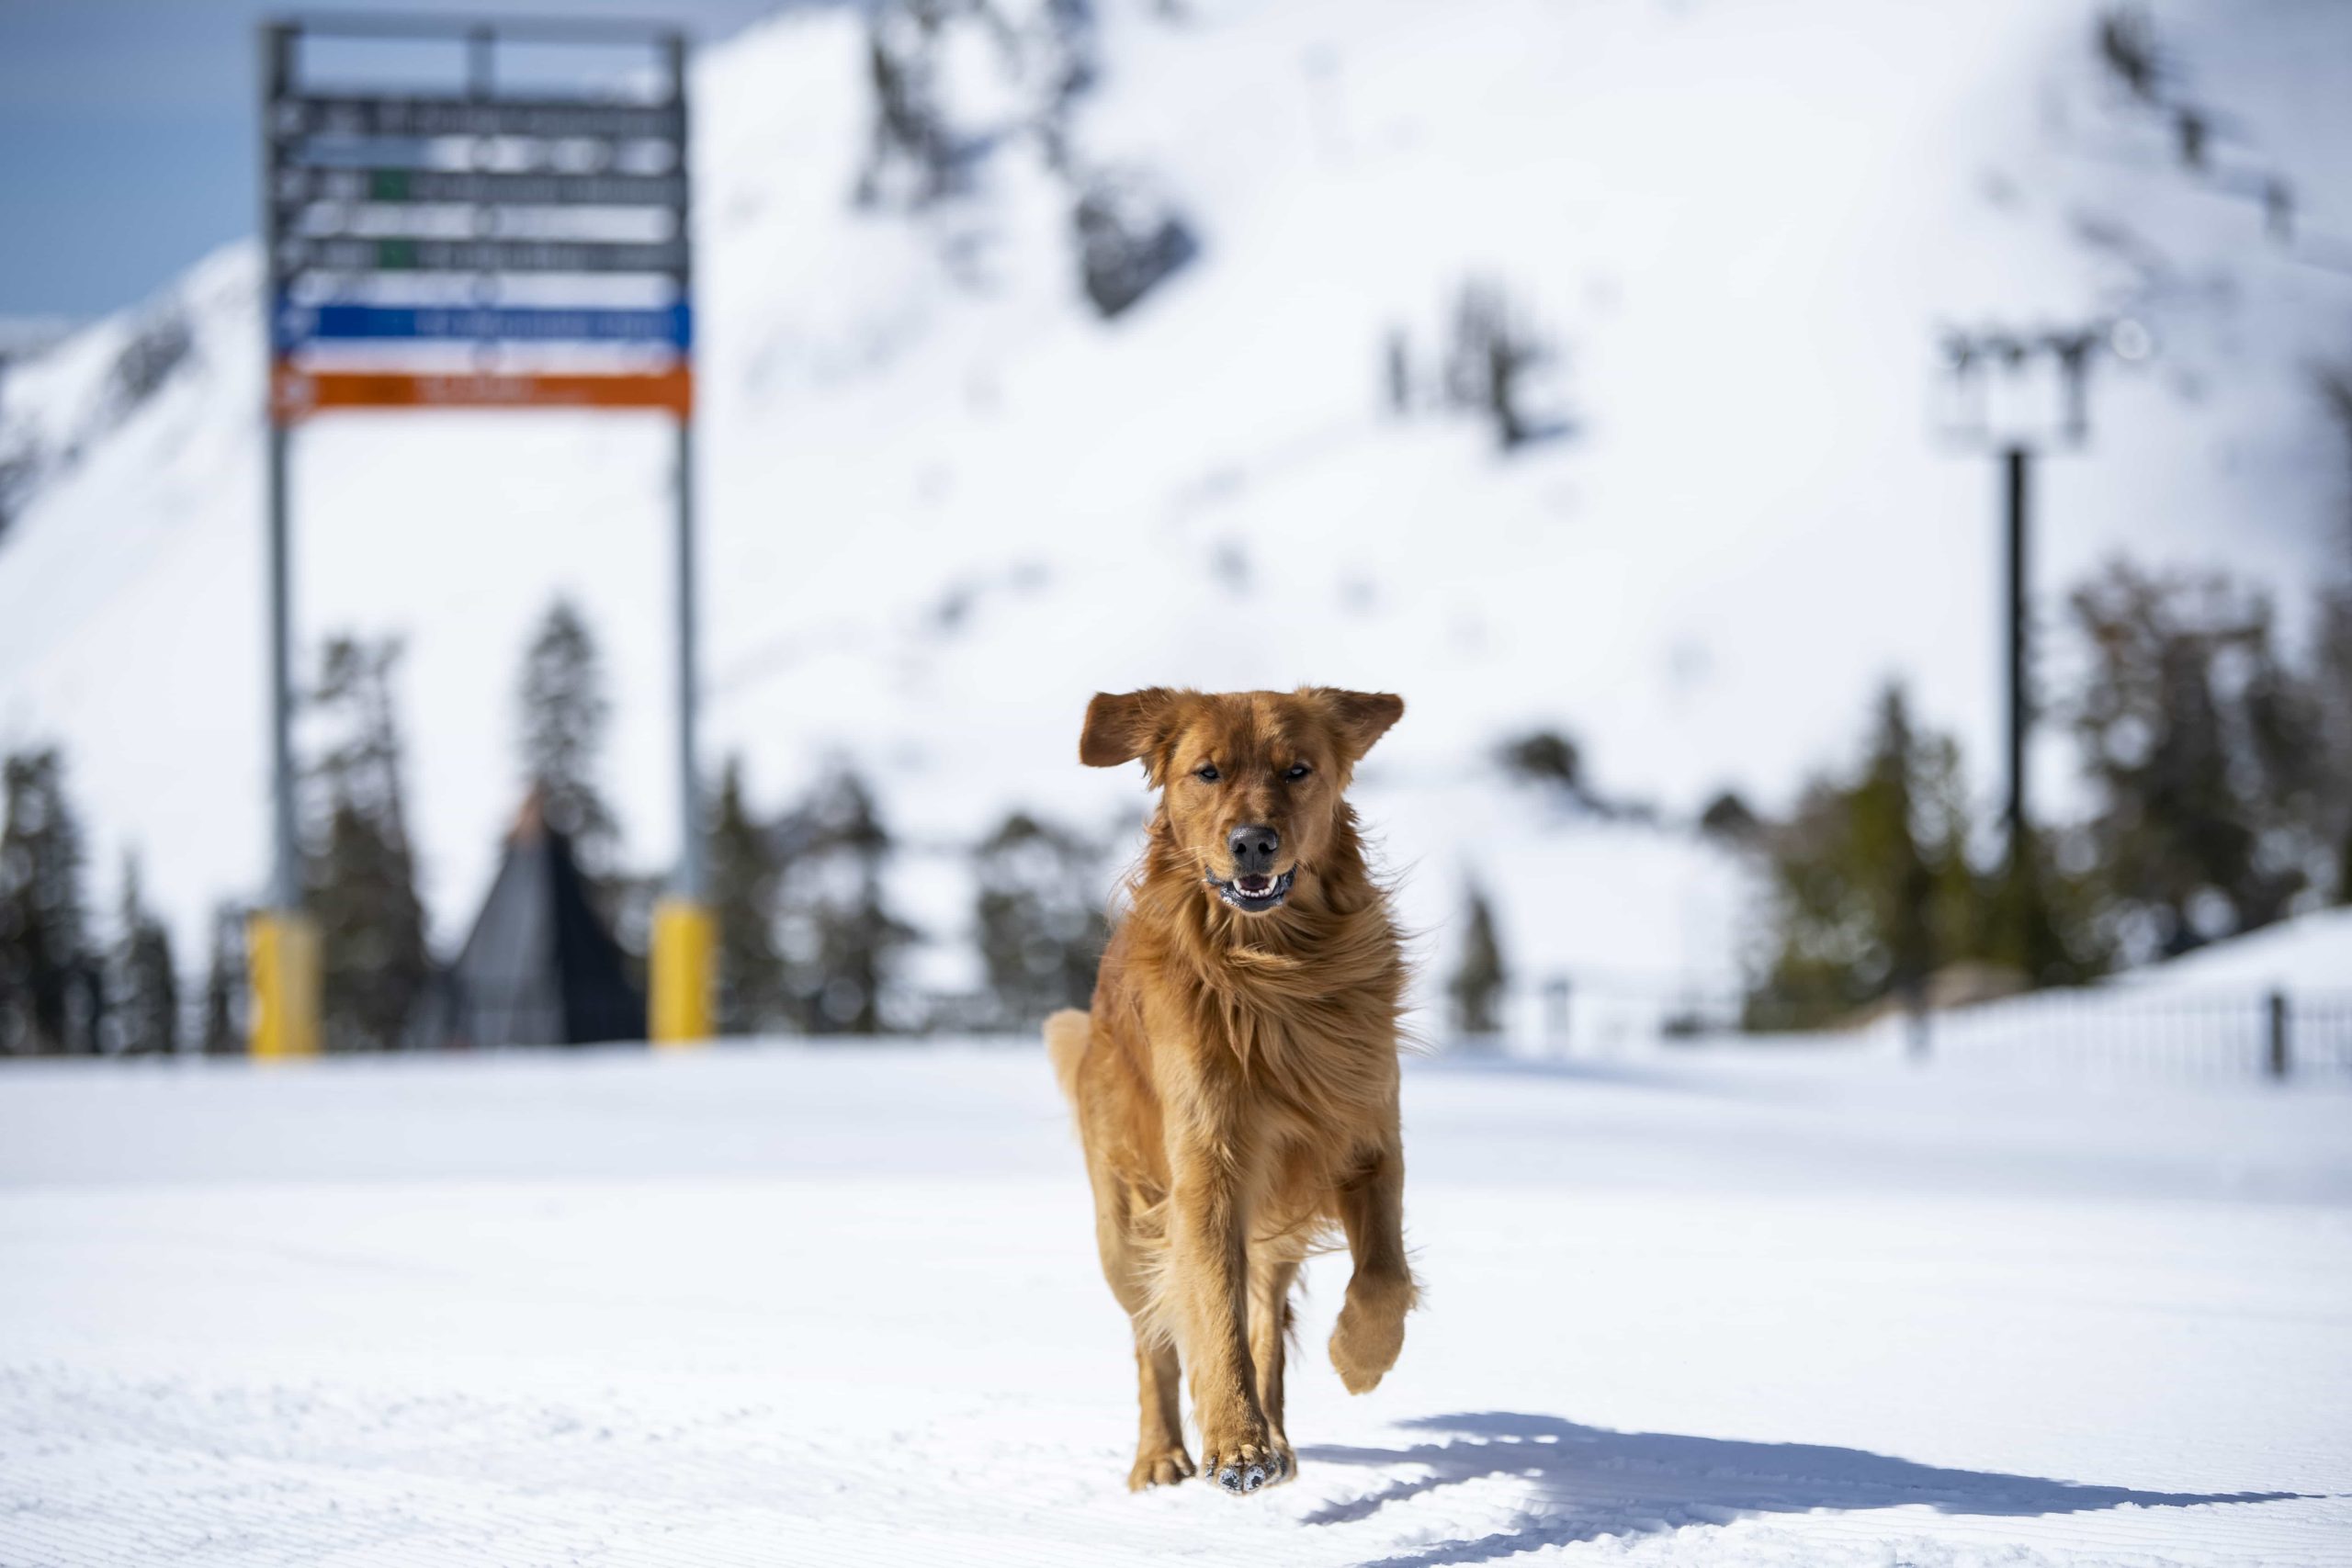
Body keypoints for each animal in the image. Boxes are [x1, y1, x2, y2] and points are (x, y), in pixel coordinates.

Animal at [1048, 686, 1411, 1495]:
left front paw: (1357, 1357)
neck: (1274, 974)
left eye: (1298, 769)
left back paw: (1279, 1435)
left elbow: (1385, 1275)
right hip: (1123, 1225)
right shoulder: (1206, 1168)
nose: (1252, 842)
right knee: (1153, 1336)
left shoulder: (1370, 1138)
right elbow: (1211, 1310)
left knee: (1265, 1321)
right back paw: (1162, 1455)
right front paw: (1236, 1445)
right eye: (1207, 772)